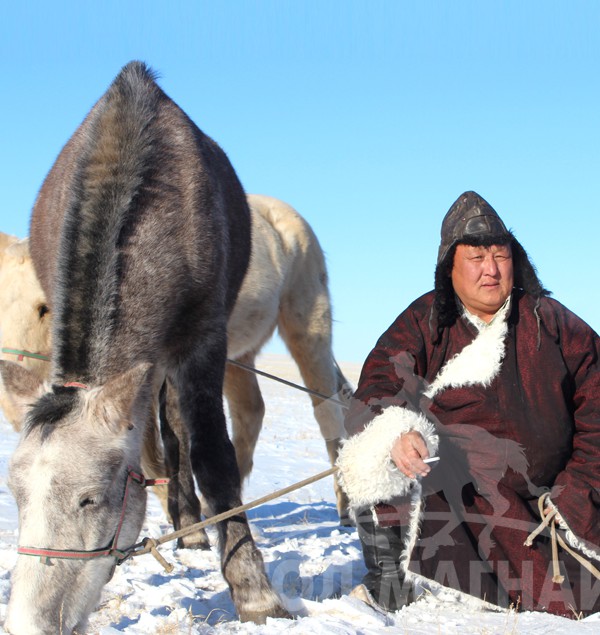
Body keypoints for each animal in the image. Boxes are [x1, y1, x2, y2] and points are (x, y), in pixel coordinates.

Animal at [1, 60, 288, 635]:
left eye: (90, 498)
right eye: (15, 498)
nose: (27, 625)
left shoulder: (204, 341)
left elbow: (212, 456)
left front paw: (256, 593)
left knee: (176, 430)